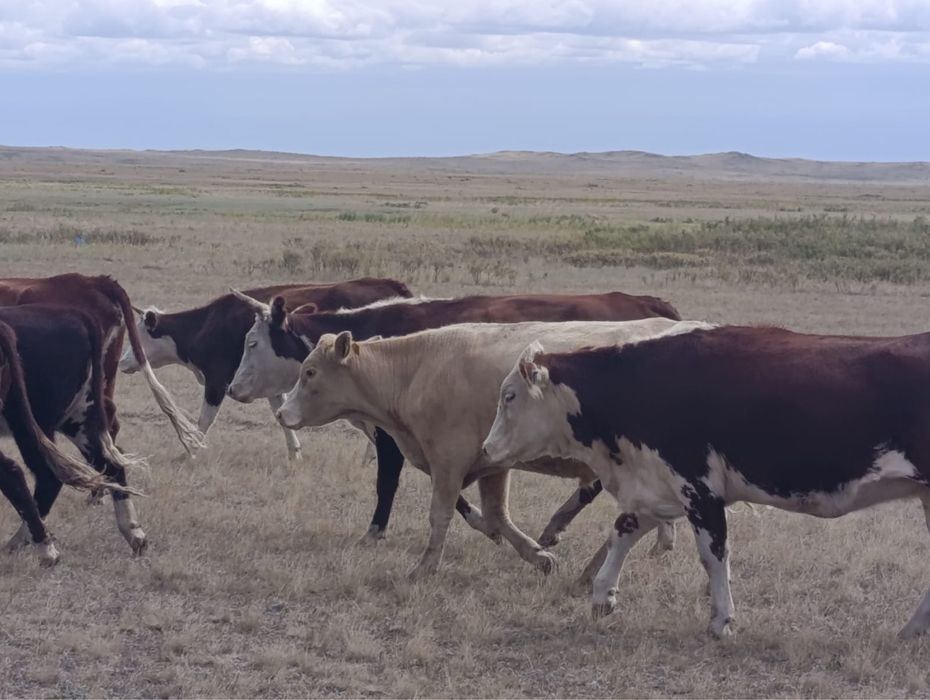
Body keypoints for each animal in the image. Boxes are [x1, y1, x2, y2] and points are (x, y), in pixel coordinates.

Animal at [0, 305, 148, 554]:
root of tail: (75, 315)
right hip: (80, 419)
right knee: (112, 464)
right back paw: (134, 532)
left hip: (31, 425)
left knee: (42, 476)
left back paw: (31, 543)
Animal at [118, 278, 412, 459]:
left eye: (138, 335)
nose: (121, 362)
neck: (207, 325)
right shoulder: (266, 382)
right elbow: (280, 414)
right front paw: (295, 453)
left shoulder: (217, 381)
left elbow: (204, 420)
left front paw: (191, 450)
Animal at [227, 291, 682, 542]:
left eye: (252, 343)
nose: (233, 389)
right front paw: (488, 526)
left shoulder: (399, 439)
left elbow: (388, 483)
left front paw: (375, 531)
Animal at [274, 319, 706, 578]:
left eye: (310, 372)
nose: (281, 412)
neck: (416, 370)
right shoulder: (494, 463)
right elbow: (497, 516)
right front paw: (538, 556)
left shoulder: (448, 462)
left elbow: (441, 515)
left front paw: (424, 568)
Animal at [481, 325, 930, 639]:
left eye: (509, 396)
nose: (486, 448)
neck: (644, 386)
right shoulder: (661, 486)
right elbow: (622, 531)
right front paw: (602, 596)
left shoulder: (698, 490)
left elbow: (714, 556)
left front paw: (721, 620)